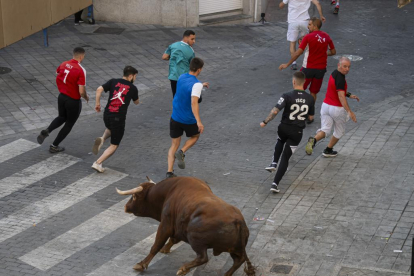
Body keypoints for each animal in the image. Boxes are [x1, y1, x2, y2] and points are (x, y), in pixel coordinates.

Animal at [116, 177, 256, 276]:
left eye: (134, 196)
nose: (126, 207)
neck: (168, 191)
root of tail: (238, 221)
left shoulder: (165, 224)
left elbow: (156, 245)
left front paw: (141, 264)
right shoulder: (178, 228)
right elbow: (172, 240)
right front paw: (165, 249)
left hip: (196, 240)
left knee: (203, 258)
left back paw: (183, 269)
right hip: (235, 248)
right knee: (239, 260)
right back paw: (226, 274)